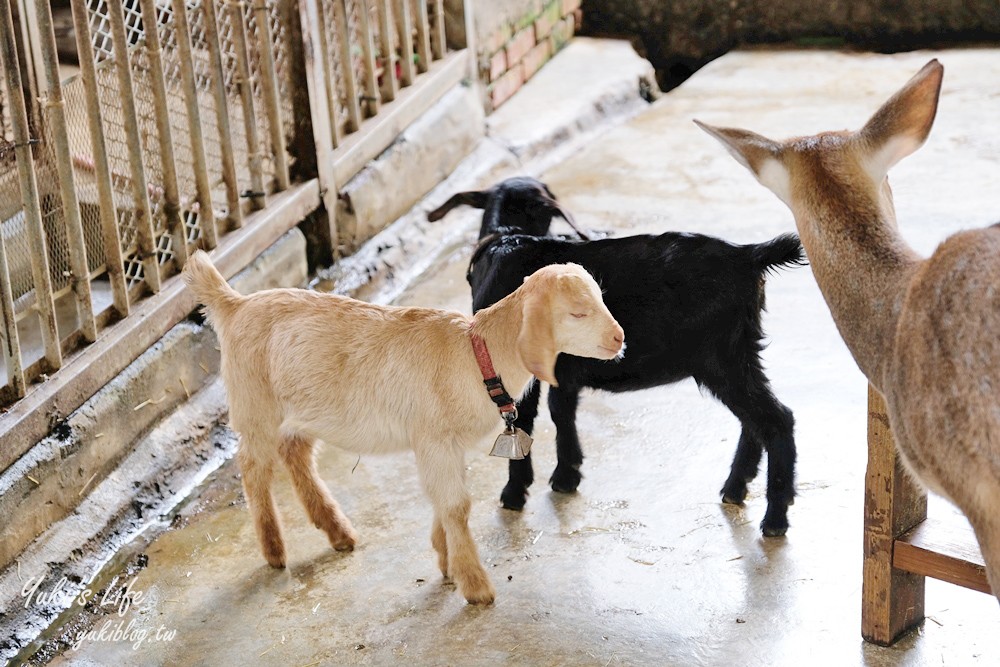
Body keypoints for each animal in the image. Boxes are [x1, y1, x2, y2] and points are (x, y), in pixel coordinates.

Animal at [426, 176, 808, 536]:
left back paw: (775, 517)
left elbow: (524, 419)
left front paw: (514, 494)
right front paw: (567, 474)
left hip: (721, 358)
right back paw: (735, 488)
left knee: (776, 419)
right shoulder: (561, 368)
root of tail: (749, 255)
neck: (508, 239)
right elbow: (561, 409)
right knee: (754, 420)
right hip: (739, 352)